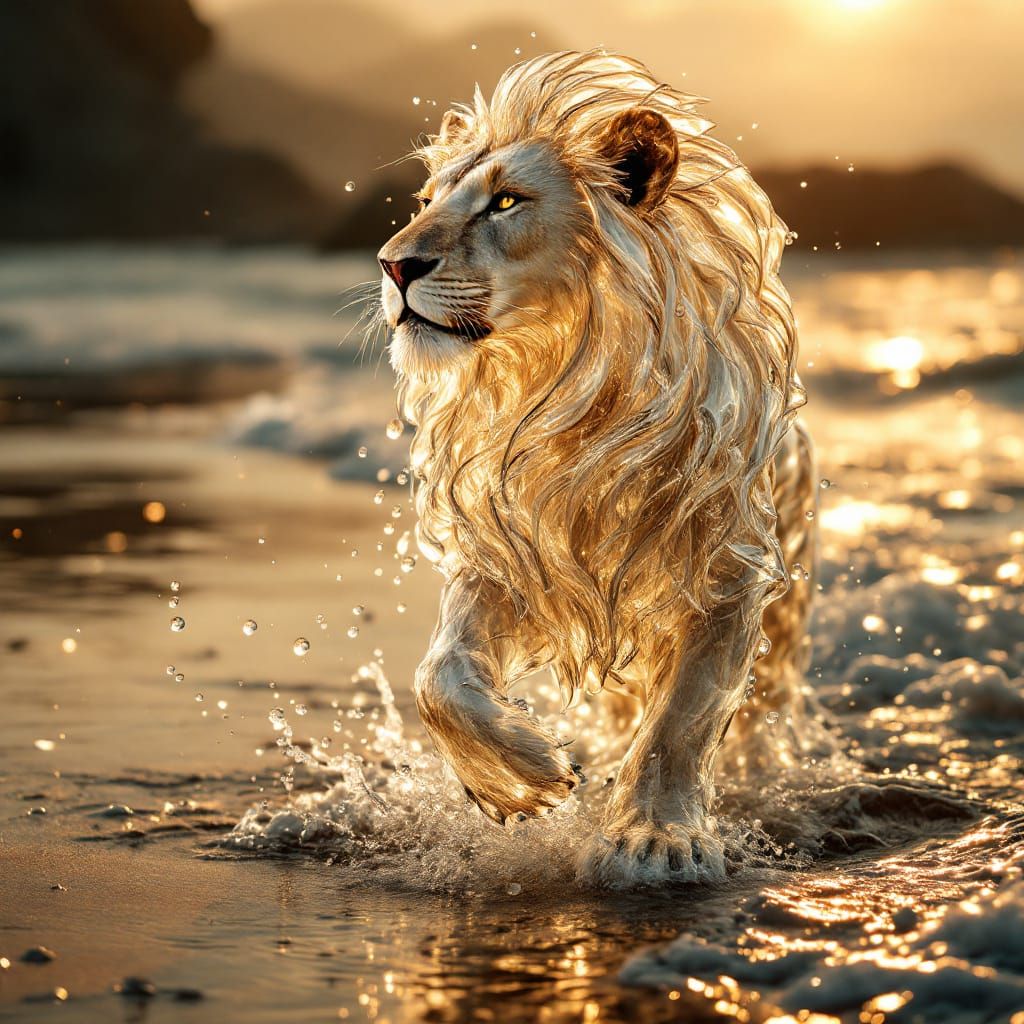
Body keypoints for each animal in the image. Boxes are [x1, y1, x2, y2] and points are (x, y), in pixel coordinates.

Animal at [375, 50, 817, 888]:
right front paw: (521, 781)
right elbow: (440, 674)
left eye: (505, 201)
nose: (393, 265)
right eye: (424, 201)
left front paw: (655, 838)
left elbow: (684, 716)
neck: (573, 396)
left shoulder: (727, 568)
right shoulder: (513, 551)